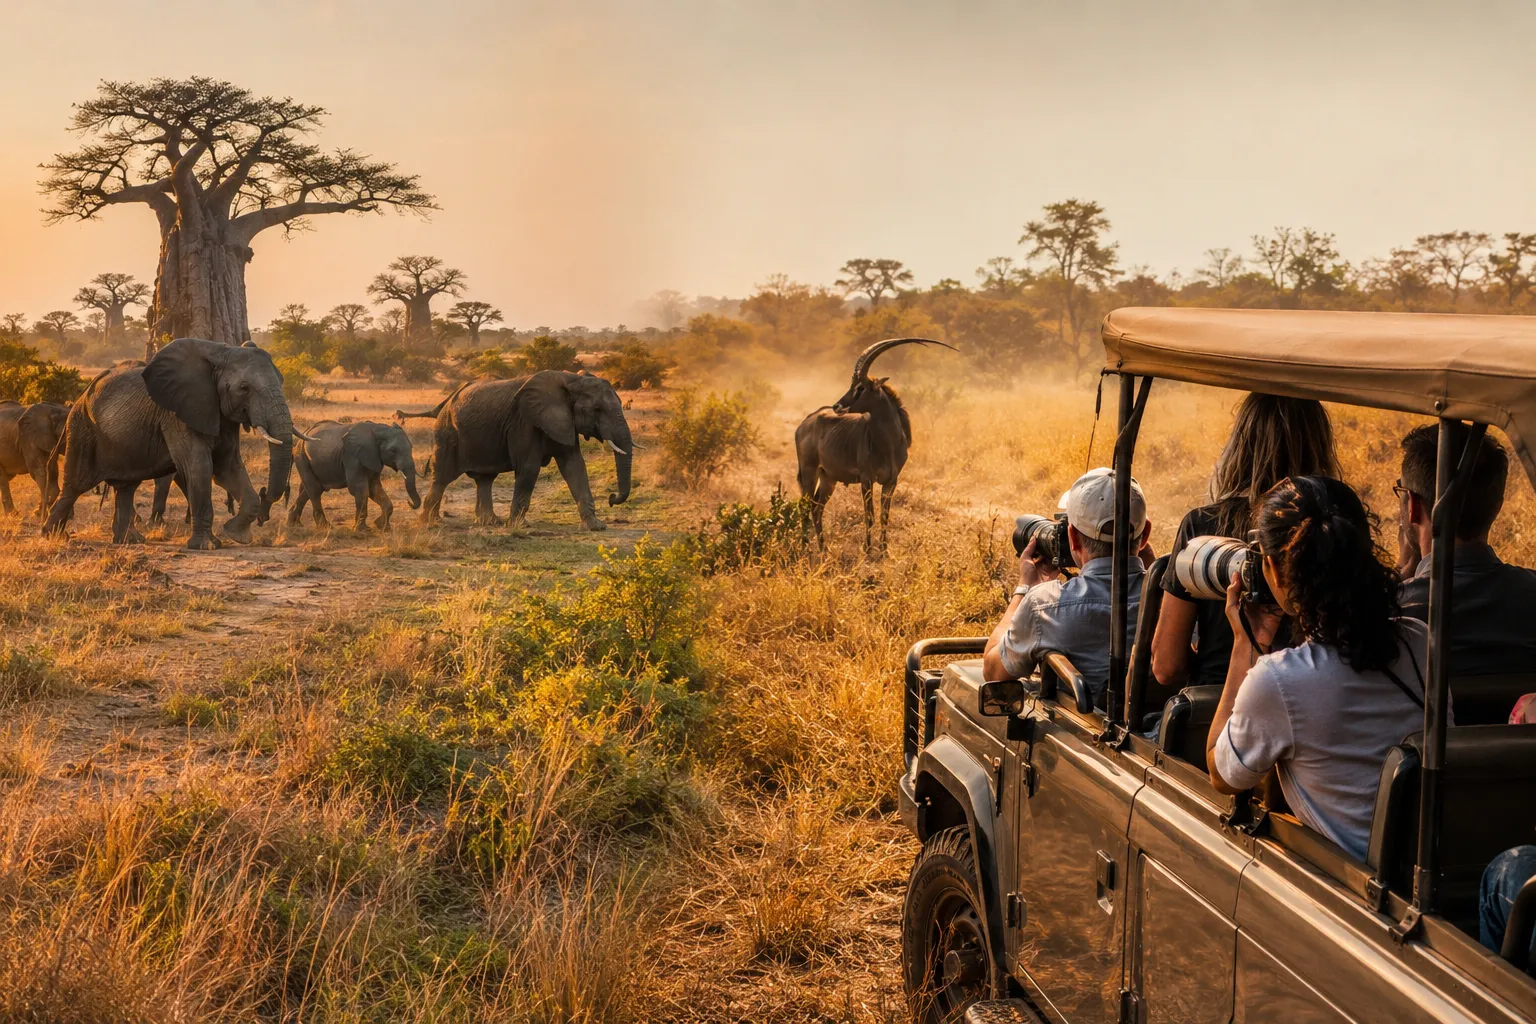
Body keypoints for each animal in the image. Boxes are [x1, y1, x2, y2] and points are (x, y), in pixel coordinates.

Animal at [43, 338, 309, 549]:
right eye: (244, 388)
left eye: (281, 381)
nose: (265, 499)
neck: (221, 353)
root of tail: (80, 397)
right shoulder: (177, 414)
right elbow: (200, 467)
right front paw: (207, 546)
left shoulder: (220, 415)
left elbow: (227, 468)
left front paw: (236, 535)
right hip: (82, 428)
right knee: (75, 485)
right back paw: (53, 536)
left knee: (126, 487)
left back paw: (129, 541)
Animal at [288, 420, 421, 531]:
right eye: (393, 450)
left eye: (411, 447)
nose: (409, 502)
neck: (378, 429)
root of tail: (304, 434)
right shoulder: (352, 456)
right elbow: (360, 489)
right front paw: (363, 530)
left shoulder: (375, 459)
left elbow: (374, 488)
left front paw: (382, 527)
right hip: (301, 456)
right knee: (315, 490)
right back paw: (325, 527)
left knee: (309, 489)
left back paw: (294, 524)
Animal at [397, 370, 634, 531]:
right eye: (597, 409)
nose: (612, 498)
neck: (571, 380)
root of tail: (444, 403)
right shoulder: (524, 421)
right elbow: (529, 468)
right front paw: (518, 526)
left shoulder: (564, 422)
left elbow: (574, 465)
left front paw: (596, 526)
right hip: (446, 432)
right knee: (442, 477)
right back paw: (429, 522)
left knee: (484, 478)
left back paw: (490, 522)